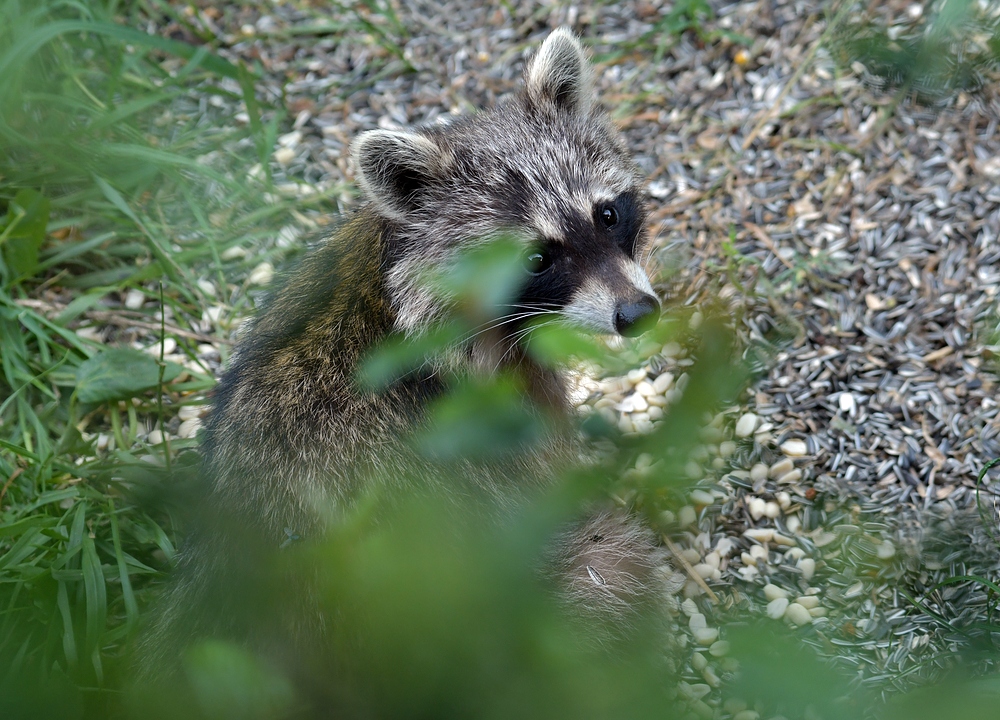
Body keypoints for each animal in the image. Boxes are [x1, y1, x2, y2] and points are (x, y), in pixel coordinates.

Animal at [139, 28, 672, 688]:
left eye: (608, 213)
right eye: (535, 259)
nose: (637, 312)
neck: (394, 280)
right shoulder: (507, 410)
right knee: (613, 562)